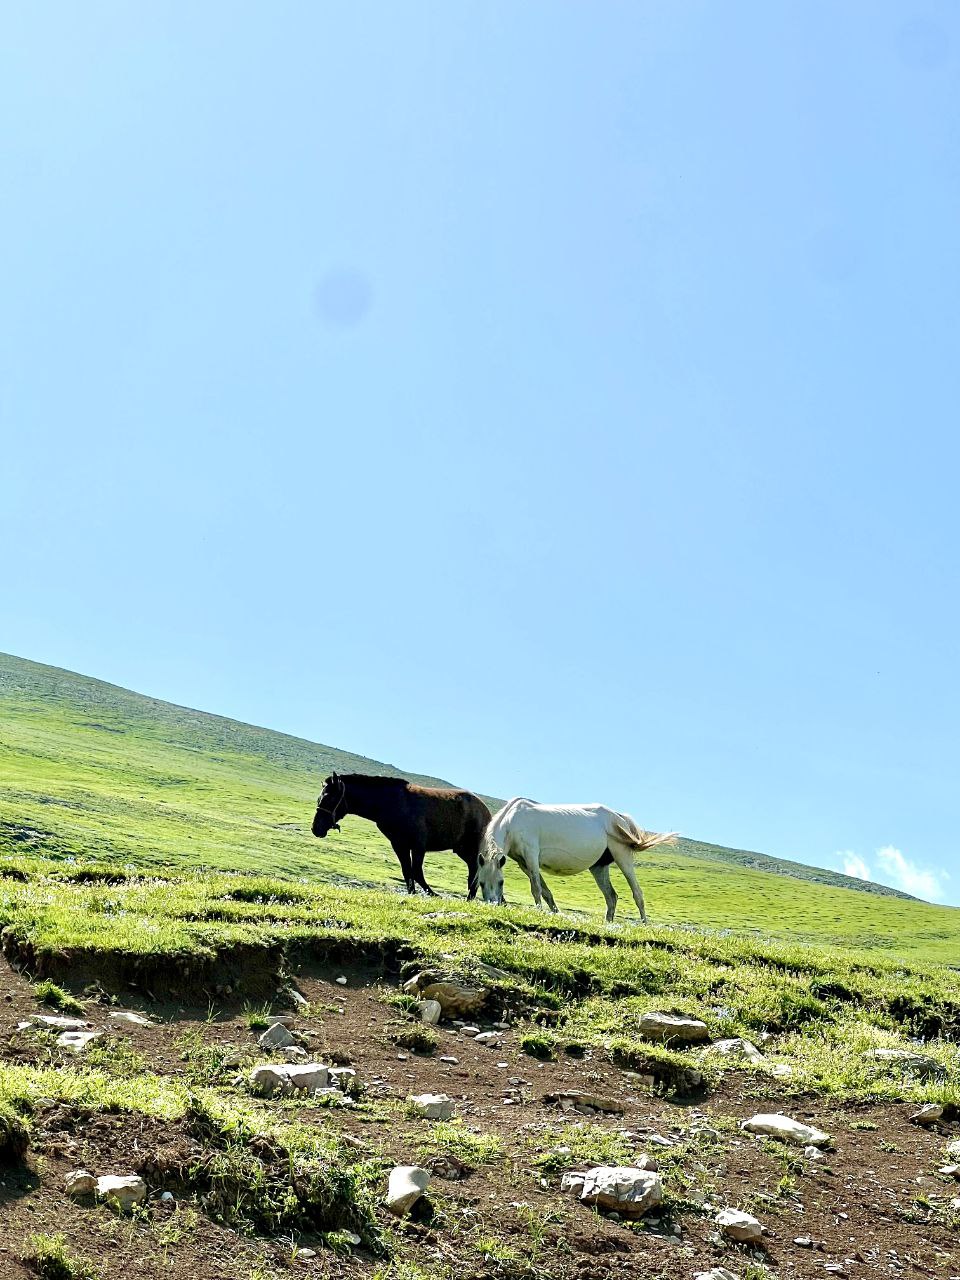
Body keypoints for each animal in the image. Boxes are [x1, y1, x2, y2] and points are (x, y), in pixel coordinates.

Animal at [312, 773, 491, 896]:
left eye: (329, 798)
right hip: (463, 850)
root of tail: (486, 810)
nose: (316, 828)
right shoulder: (399, 845)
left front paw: (433, 894)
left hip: (471, 849)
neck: (391, 803)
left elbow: (416, 872)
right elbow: (407, 871)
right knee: (474, 871)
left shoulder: (418, 846)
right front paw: (412, 893)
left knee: (476, 871)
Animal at [478, 798, 675, 921]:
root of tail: (619, 817)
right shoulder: (523, 863)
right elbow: (546, 891)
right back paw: (608, 924)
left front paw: (539, 911)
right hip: (598, 867)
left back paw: (645, 924)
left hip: (622, 857)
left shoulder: (531, 856)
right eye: (480, 883)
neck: (513, 820)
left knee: (637, 893)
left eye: (501, 882)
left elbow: (536, 889)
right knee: (611, 896)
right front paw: (555, 913)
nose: (492, 904)